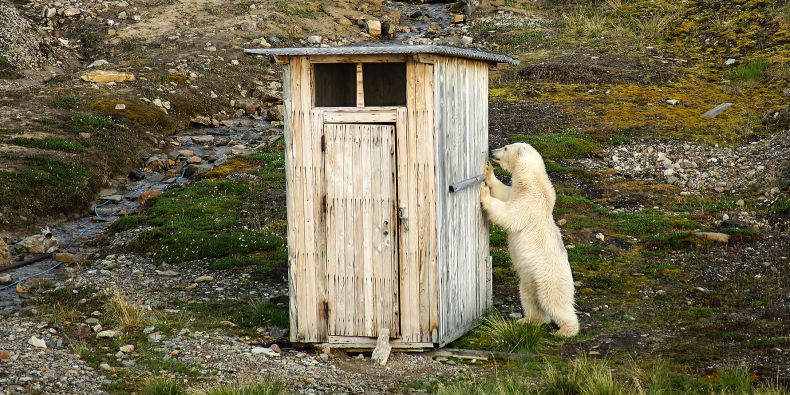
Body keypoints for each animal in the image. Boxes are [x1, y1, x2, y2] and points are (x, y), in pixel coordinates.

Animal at [480, 142, 580, 338]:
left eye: (505, 148)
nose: (492, 151)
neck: (534, 183)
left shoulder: (529, 203)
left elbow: (509, 215)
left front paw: (484, 193)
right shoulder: (517, 193)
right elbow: (504, 192)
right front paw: (488, 172)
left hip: (550, 280)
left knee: (556, 303)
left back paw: (565, 330)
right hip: (530, 279)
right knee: (530, 299)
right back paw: (528, 320)